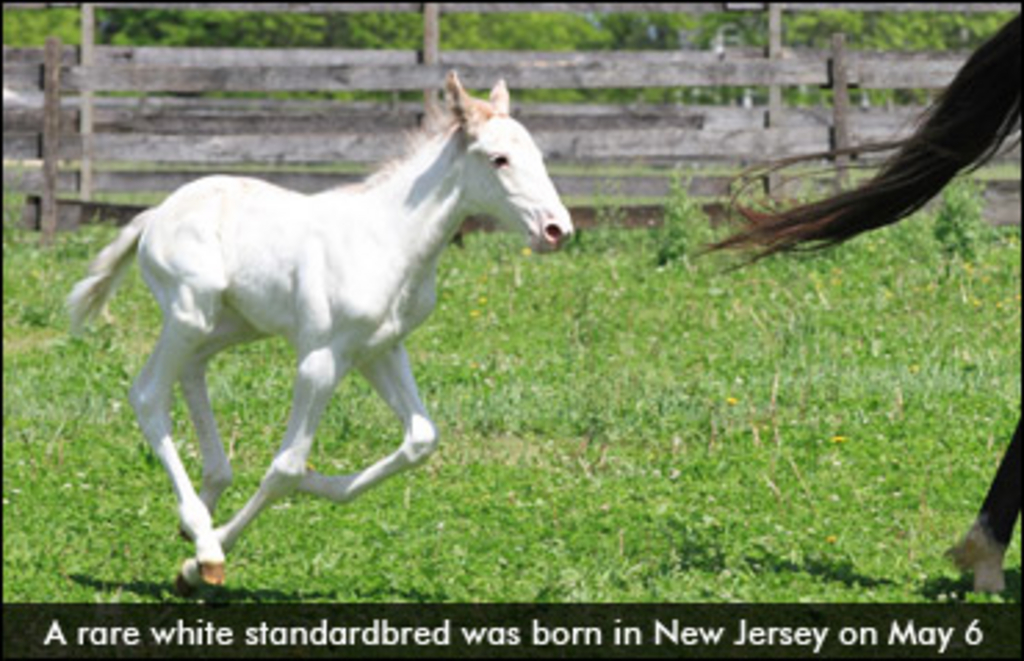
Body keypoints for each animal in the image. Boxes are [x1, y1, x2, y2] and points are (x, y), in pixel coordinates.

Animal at [68, 73, 573, 597]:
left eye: (538, 155)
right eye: (499, 159)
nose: (557, 230)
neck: (387, 240)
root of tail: (155, 214)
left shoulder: (381, 350)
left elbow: (420, 439)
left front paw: (315, 484)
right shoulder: (321, 359)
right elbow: (285, 467)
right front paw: (199, 562)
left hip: (234, 323)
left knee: (192, 370)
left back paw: (206, 503)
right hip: (191, 312)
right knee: (148, 393)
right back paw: (204, 539)